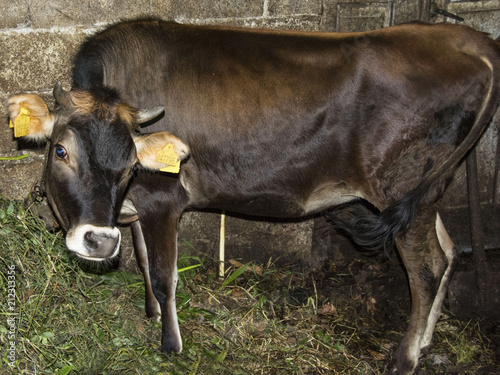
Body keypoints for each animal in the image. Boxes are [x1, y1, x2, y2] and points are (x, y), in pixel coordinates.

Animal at [4, 21, 500, 375]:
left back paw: (405, 358)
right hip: (425, 190)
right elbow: (143, 261)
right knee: (448, 254)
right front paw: (149, 313)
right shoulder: (139, 205)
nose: (99, 241)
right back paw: (427, 341)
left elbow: (164, 275)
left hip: (400, 184)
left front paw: (170, 345)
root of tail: (467, 38)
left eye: (129, 165)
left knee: (426, 270)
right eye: (60, 150)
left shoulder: (163, 199)